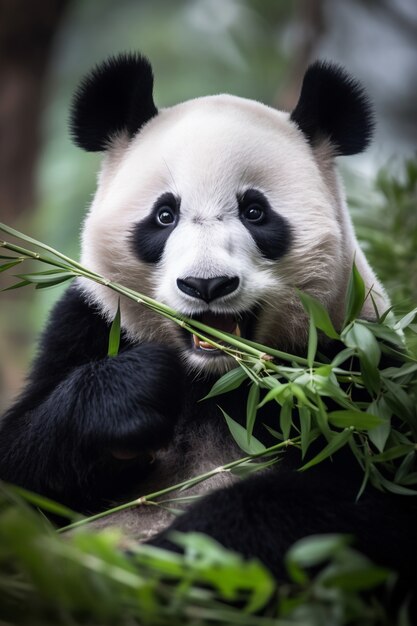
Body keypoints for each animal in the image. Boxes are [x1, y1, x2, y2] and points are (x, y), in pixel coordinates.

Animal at [0, 54, 416, 604]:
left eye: (255, 211)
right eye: (164, 215)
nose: (207, 284)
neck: (218, 377)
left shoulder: (359, 367)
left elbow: (361, 499)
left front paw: (169, 562)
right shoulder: (86, 324)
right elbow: (21, 470)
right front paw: (132, 398)